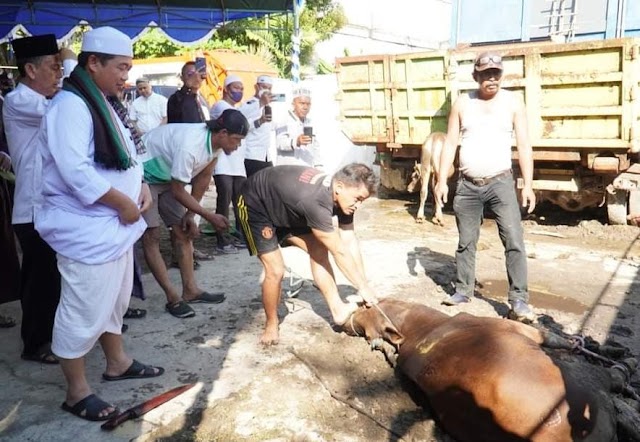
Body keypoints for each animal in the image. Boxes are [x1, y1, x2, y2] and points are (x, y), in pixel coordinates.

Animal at [342, 300, 624, 442]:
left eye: (362, 308)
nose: (342, 322)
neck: (423, 327)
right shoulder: (520, 329)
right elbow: (554, 337)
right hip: (588, 386)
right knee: (608, 380)